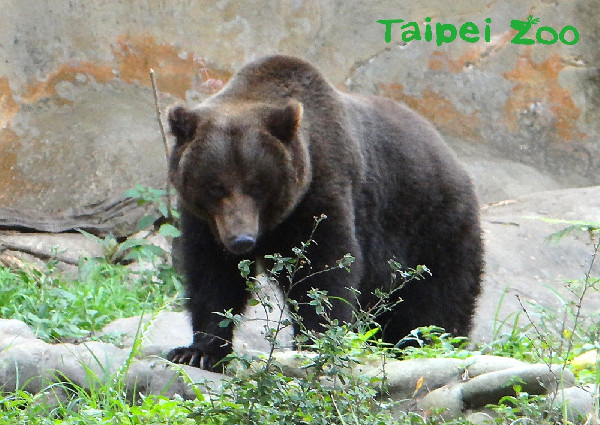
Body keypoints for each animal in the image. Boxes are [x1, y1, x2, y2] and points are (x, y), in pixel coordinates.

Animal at [164, 54, 482, 370]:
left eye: (257, 184)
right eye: (215, 187)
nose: (241, 240)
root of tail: (453, 159)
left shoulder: (321, 190)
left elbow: (325, 269)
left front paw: (315, 344)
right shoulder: (205, 220)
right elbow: (212, 275)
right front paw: (197, 351)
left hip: (432, 227)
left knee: (437, 301)